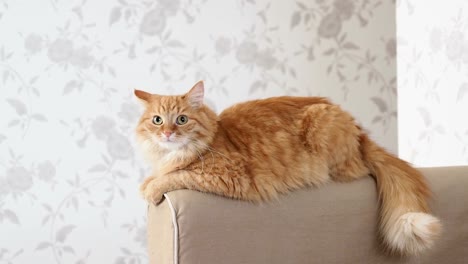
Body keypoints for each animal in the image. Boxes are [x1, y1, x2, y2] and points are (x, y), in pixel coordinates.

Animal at [133, 81, 440, 256]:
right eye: (157, 120)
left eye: (182, 120)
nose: (168, 134)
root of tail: (357, 129)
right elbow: (161, 174)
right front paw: (149, 180)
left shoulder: (228, 175)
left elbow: (178, 175)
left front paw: (152, 189)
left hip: (326, 136)